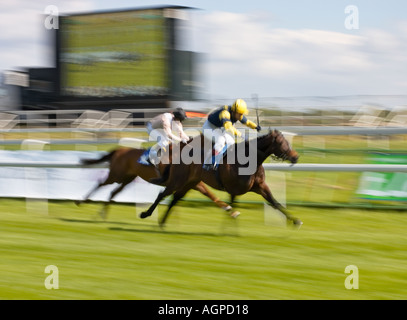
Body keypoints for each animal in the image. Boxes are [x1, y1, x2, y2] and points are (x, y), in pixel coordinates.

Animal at [75, 146, 230, 219]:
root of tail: (120, 149)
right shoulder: (187, 181)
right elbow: (209, 193)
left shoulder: (193, 183)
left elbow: (210, 195)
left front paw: (228, 208)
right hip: (116, 175)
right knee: (101, 184)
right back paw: (82, 201)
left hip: (127, 179)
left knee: (113, 192)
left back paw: (102, 214)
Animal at [140, 130, 302, 228]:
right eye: (281, 143)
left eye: (288, 142)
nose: (295, 157)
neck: (249, 161)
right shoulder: (234, 189)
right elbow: (233, 204)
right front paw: (229, 228)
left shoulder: (260, 186)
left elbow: (275, 202)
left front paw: (295, 220)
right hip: (178, 181)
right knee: (162, 194)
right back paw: (146, 214)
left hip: (190, 182)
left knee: (174, 199)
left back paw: (162, 222)